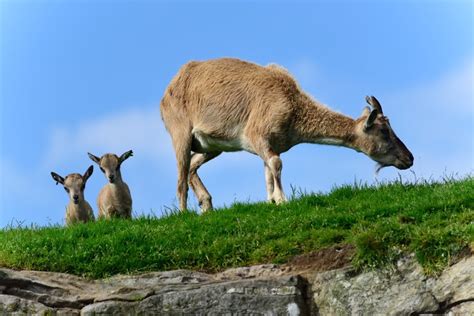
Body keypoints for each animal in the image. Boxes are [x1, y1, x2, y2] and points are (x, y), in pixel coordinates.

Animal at [159, 58, 412, 211]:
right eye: (384, 131)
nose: (409, 158)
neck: (293, 107)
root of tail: (167, 92)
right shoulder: (256, 134)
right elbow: (276, 163)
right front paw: (282, 200)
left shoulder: (268, 144)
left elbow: (268, 173)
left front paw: (271, 200)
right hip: (180, 132)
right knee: (181, 177)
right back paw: (184, 213)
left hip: (212, 146)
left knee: (192, 166)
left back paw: (207, 205)